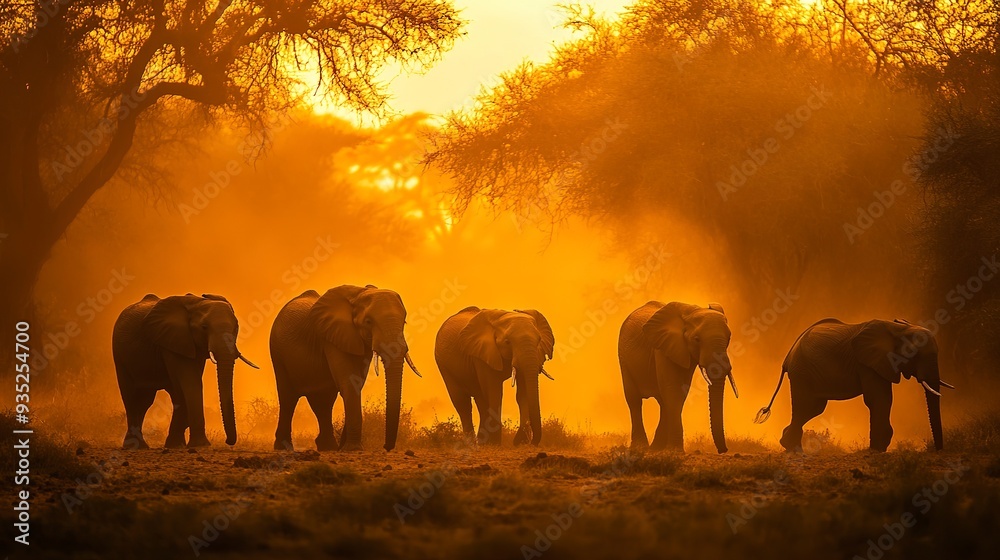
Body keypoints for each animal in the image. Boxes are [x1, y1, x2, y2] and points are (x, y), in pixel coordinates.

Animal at [112, 293, 259, 449]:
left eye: (236, 328)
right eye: (204, 327)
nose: (228, 441)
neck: (197, 303)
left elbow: (189, 384)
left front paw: (178, 445)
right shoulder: (174, 340)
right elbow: (190, 382)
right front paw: (200, 445)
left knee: (146, 400)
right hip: (119, 355)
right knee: (132, 397)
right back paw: (136, 446)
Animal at [269, 285, 420, 452]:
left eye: (404, 322)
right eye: (368, 322)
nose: (386, 447)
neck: (358, 295)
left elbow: (356, 383)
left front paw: (345, 446)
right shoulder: (332, 336)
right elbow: (349, 383)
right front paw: (353, 448)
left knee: (323, 401)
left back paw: (328, 447)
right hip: (277, 352)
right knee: (288, 397)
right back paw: (284, 447)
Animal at [434, 307, 555, 446]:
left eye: (539, 340)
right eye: (507, 342)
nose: (531, 443)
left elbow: (522, 393)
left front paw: (519, 441)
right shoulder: (482, 354)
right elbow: (495, 392)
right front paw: (496, 443)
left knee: (480, 400)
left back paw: (482, 442)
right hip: (444, 365)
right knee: (462, 402)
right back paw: (472, 444)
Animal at [618, 301, 738, 453]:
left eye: (729, 338)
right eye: (697, 339)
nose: (723, 450)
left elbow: (680, 392)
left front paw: (668, 449)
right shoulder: (663, 348)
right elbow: (673, 390)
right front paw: (675, 451)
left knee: (663, 401)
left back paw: (655, 448)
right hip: (623, 358)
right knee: (634, 400)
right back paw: (641, 447)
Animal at [755, 318, 954, 452]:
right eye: (916, 355)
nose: (937, 450)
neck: (900, 329)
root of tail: (788, 356)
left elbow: (882, 399)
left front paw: (879, 448)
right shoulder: (867, 363)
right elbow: (878, 399)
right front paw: (877, 449)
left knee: (813, 409)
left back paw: (788, 445)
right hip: (802, 371)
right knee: (806, 407)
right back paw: (793, 449)